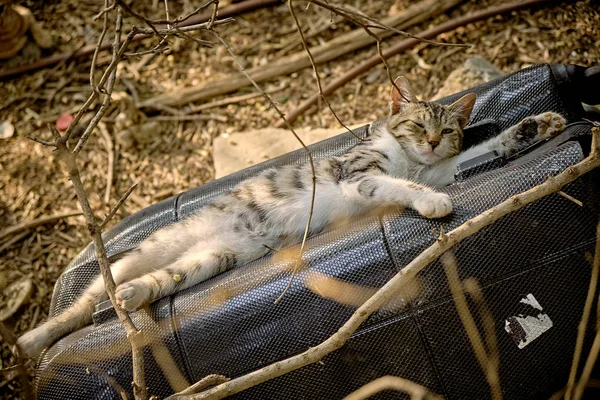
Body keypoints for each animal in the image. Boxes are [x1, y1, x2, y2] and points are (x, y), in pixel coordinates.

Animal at [15, 76, 568, 358]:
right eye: (416, 125)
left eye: (448, 131)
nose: (431, 141)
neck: (413, 162)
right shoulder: (356, 175)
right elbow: (399, 185)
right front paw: (430, 203)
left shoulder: (442, 169)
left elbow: (475, 155)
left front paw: (534, 127)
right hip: (152, 249)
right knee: (85, 301)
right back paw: (36, 337)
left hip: (208, 260)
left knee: (150, 283)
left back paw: (129, 297)